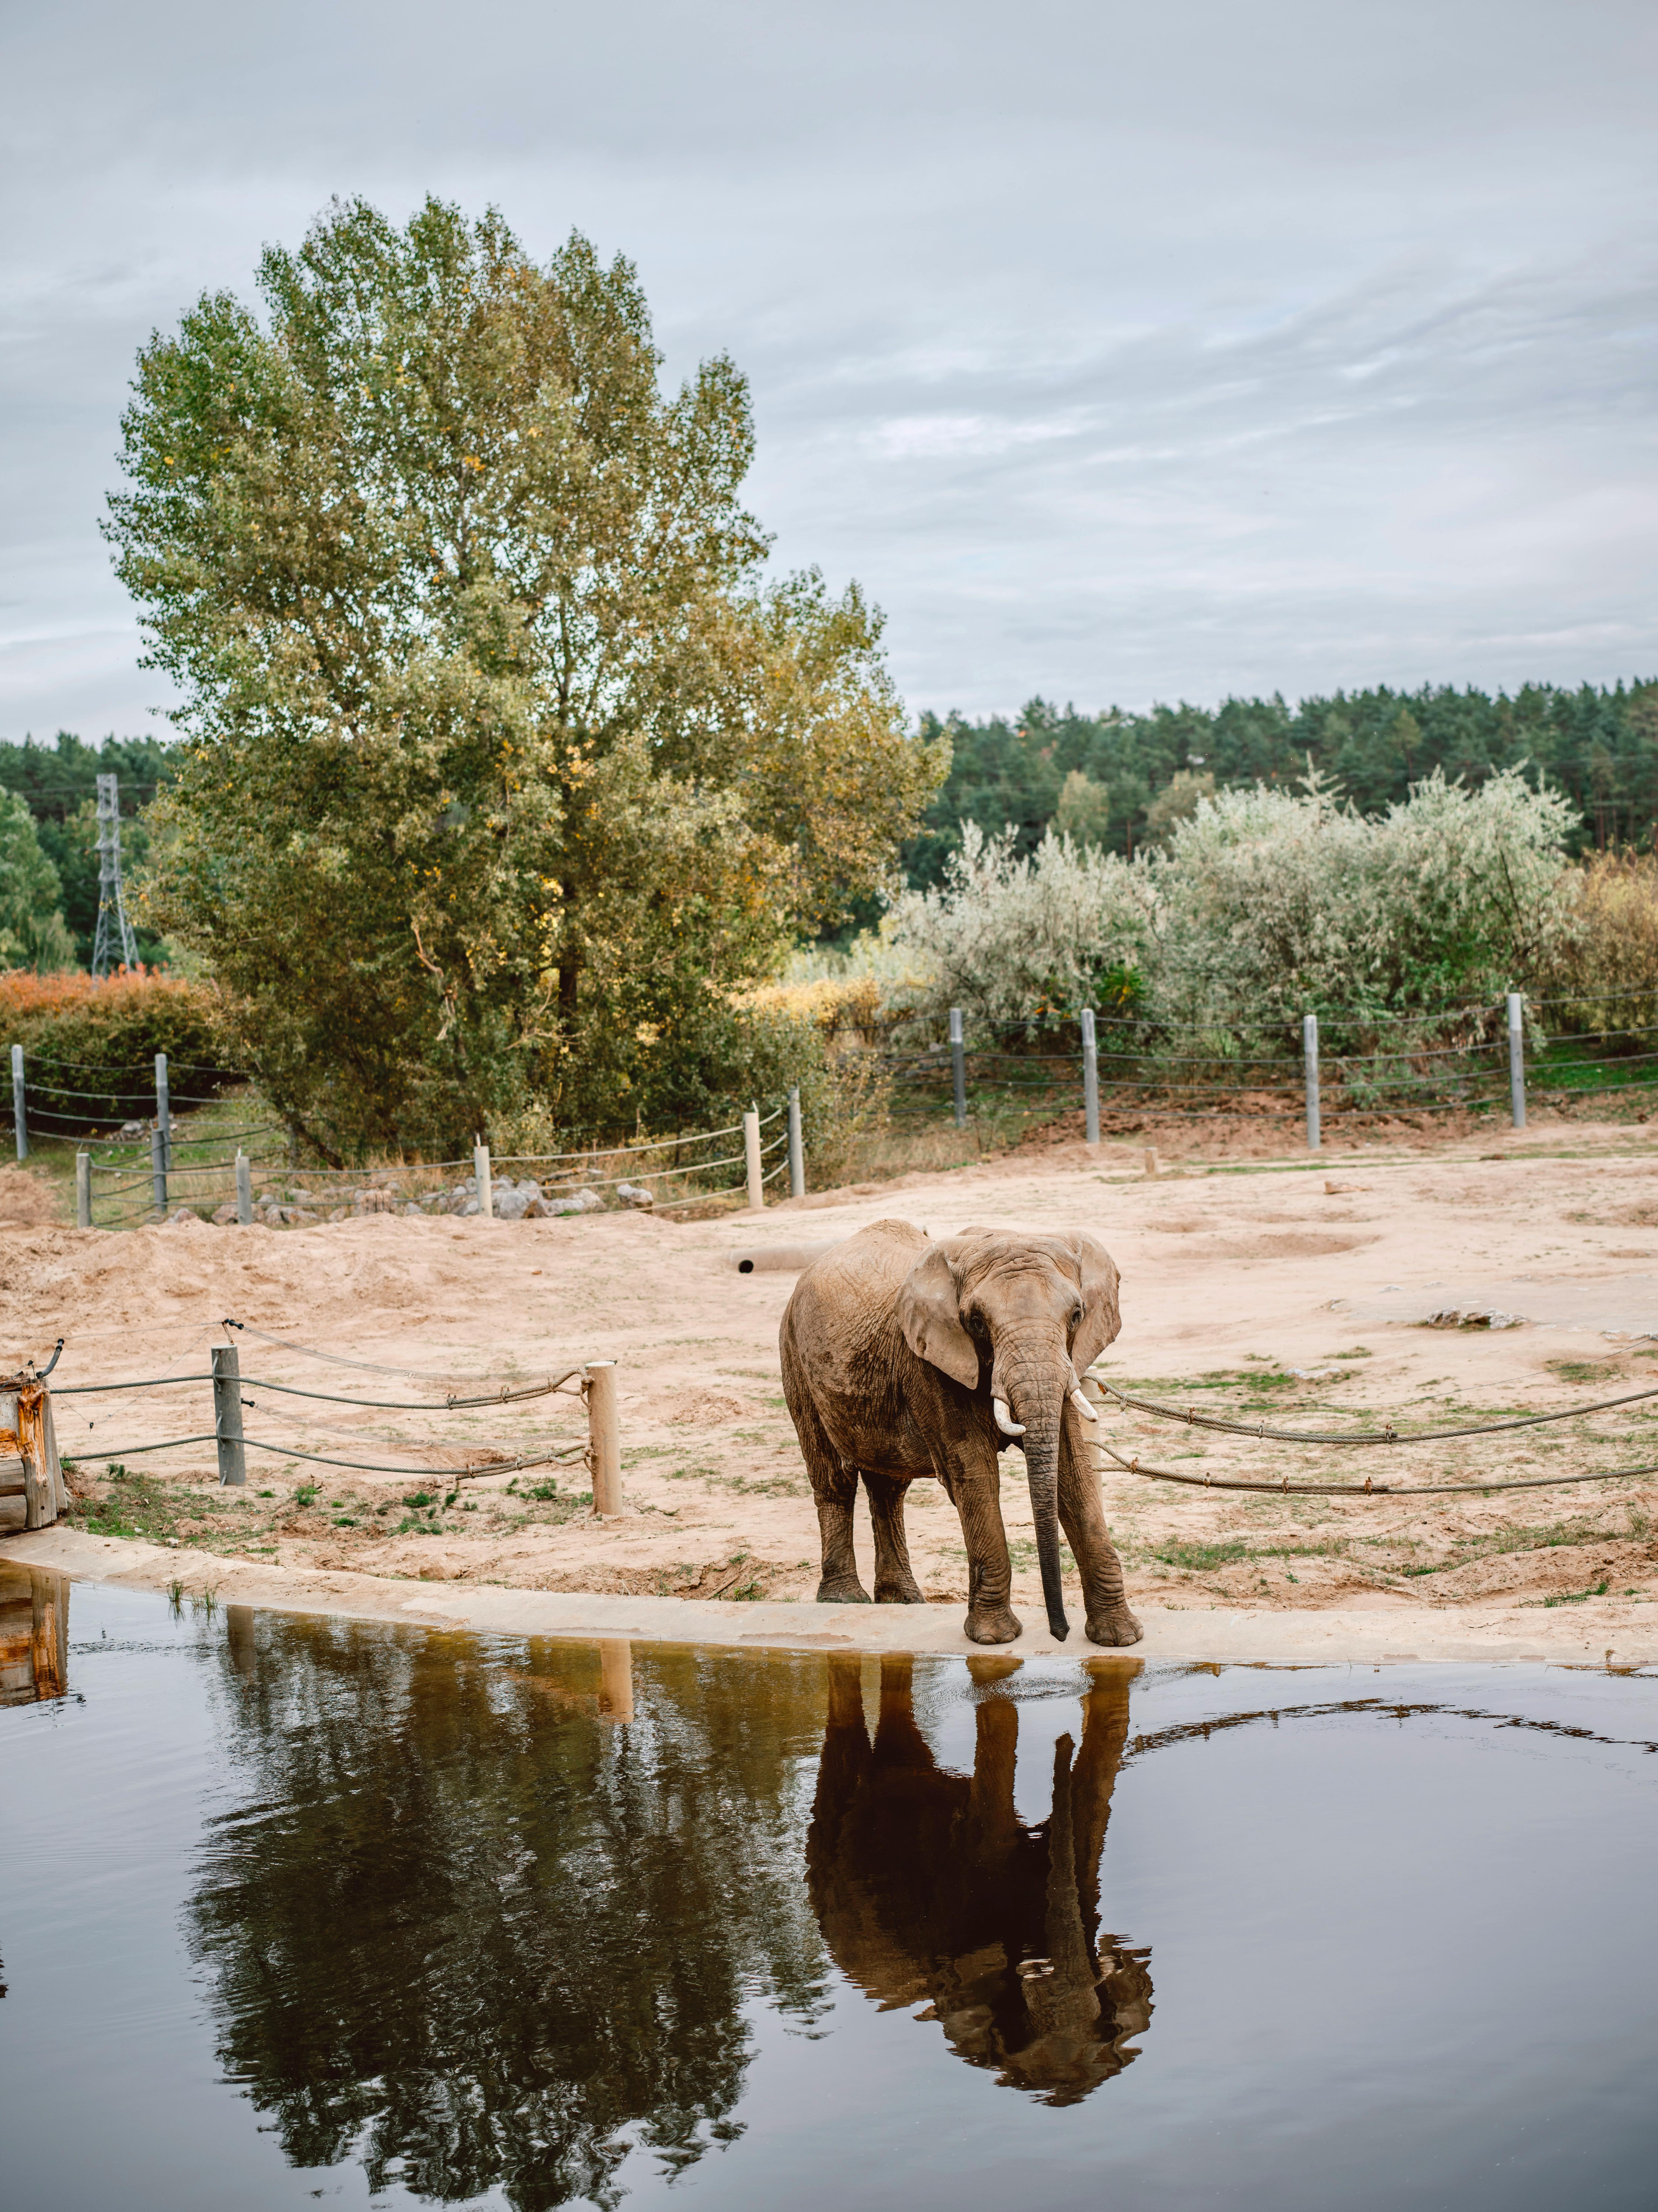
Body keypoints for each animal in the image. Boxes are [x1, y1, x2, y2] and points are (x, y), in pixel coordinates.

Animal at [779, 1218, 1142, 1647]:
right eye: (977, 1323)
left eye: (1076, 1315)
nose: (1060, 1633)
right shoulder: (928, 1365)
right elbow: (975, 1473)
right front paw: (994, 1638)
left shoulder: (1067, 1362)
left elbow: (1072, 1473)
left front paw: (1120, 1637)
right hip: (794, 1357)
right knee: (833, 1479)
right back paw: (845, 1601)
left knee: (888, 1488)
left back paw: (902, 1601)